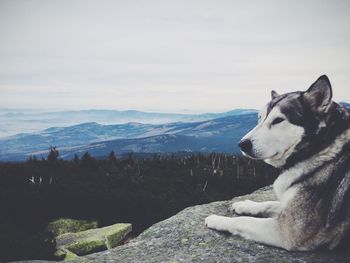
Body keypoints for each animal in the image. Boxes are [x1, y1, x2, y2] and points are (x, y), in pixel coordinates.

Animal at [205, 75, 350, 251]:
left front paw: (217, 219)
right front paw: (246, 205)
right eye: (260, 118)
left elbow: (244, 221)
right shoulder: (287, 208)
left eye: (278, 120)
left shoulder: (288, 231)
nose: (242, 144)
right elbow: (269, 204)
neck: (320, 147)